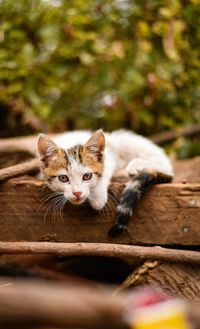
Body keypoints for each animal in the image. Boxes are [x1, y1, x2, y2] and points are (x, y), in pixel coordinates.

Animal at [38, 127, 173, 233]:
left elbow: (105, 170)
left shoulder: (109, 154)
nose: (77, 193)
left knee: (164, 164)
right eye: (63, 178)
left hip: (125, 142)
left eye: (87, 176)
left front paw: (98, 197)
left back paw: (134, 166)